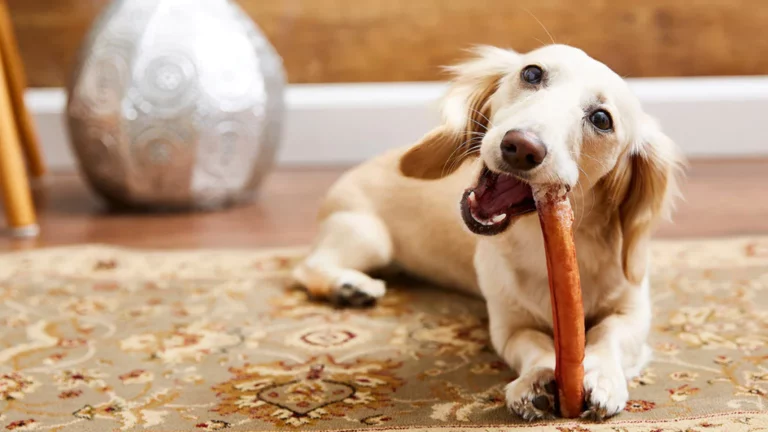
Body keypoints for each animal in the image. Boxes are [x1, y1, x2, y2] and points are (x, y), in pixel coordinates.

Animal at [294, 45, 684, 420]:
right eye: (532, 73)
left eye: (602, 119)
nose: (522, 146)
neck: (539, 245)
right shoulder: (509, 325)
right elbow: (533, 344)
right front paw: (536, 379)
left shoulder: (631, 310)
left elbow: (608, 335)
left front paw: (602, 376)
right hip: (368, 237)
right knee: (305, 268)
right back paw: (349, 286)